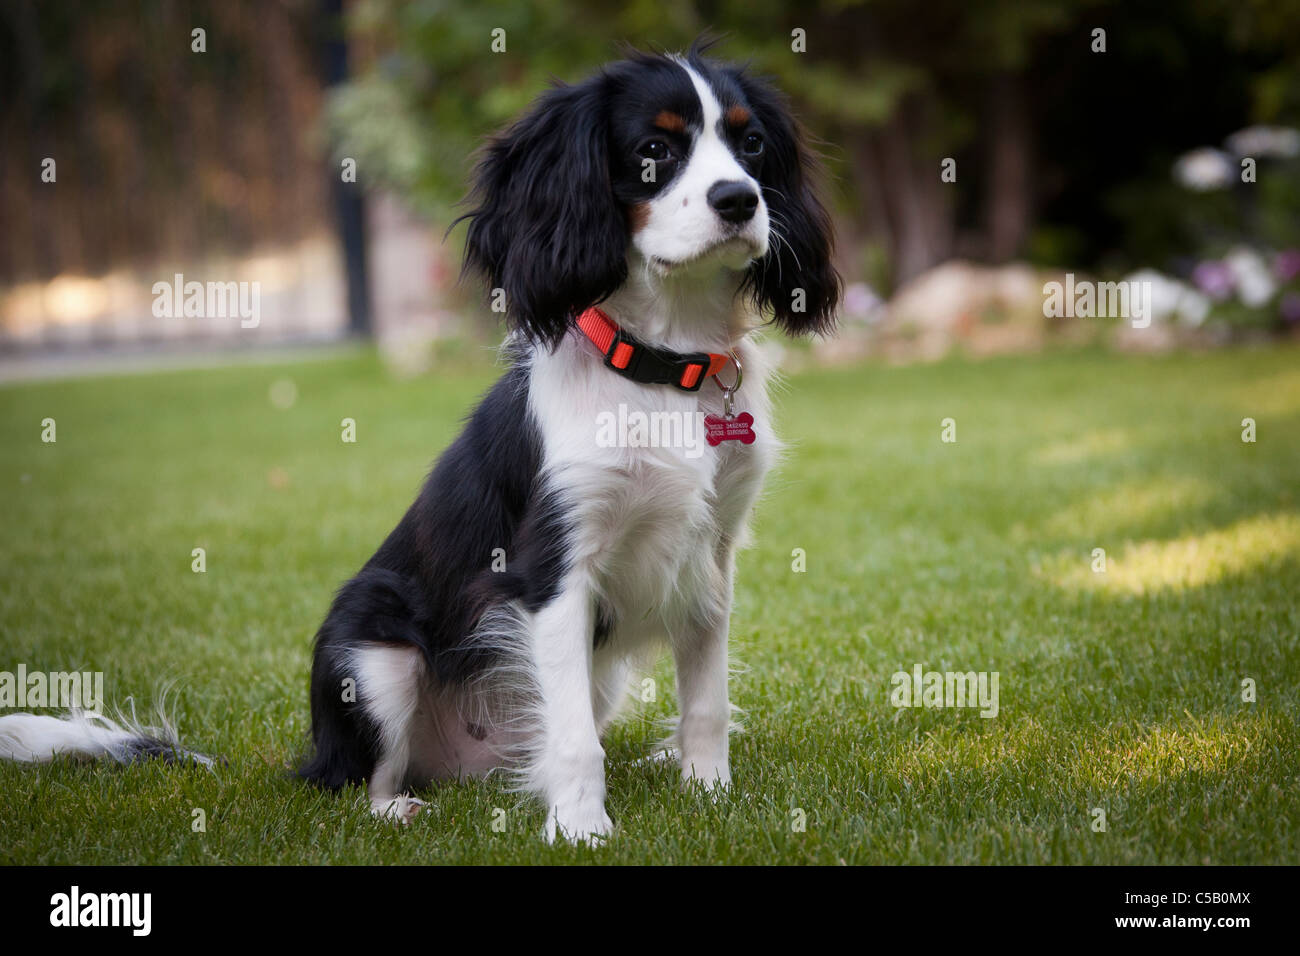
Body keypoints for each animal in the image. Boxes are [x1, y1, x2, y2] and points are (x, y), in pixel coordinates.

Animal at [0, 42, 837, 842]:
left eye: (752, 144)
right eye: (654, 151)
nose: (740, 199)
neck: (665, 367)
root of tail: (314, 755)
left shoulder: (712, 559)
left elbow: (706, 700)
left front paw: (709, 793)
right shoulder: (552, 571)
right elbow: (573, 739)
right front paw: (581, 828)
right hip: (371, 656)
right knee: (360, 784)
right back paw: (397, 808)